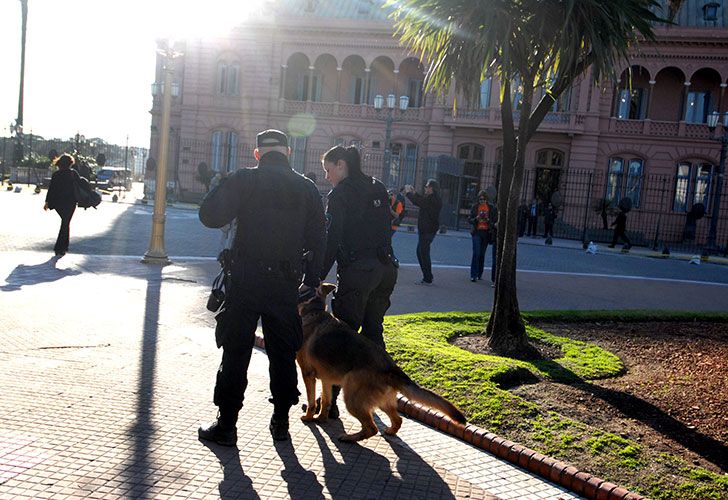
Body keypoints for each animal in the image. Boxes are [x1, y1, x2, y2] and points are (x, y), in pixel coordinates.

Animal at [296, 286, 466, 442]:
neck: (314, 312)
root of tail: (390, 368)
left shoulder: (307, 374)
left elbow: (311, 401)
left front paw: (309, 417)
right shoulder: (326, 380)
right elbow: (325, 401)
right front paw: (321, 418)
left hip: (352, 399)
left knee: (372, 428)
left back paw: (350, 437)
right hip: (382, 401)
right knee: (397, 420)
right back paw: (389, 431)